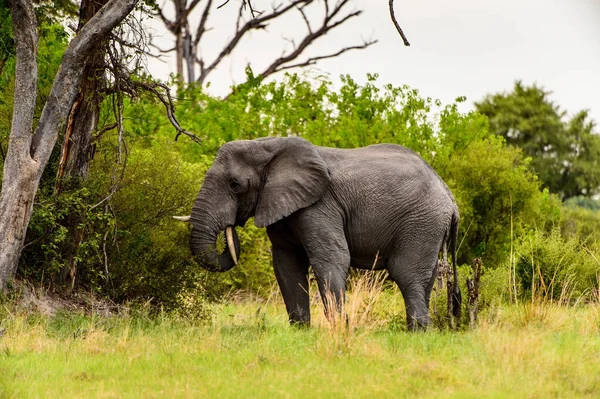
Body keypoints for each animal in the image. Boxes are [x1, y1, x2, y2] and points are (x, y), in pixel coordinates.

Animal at [182, 138, 460, 332]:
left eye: (235, 185)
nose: (231, 228)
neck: (267, 146)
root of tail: (450, 197)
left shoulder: (320, 205)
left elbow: (332, 259)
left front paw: (339, 329)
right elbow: (286, 265)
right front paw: (300, 331)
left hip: (421, 222)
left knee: (407, 273)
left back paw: (419, 333)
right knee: (425, 277)